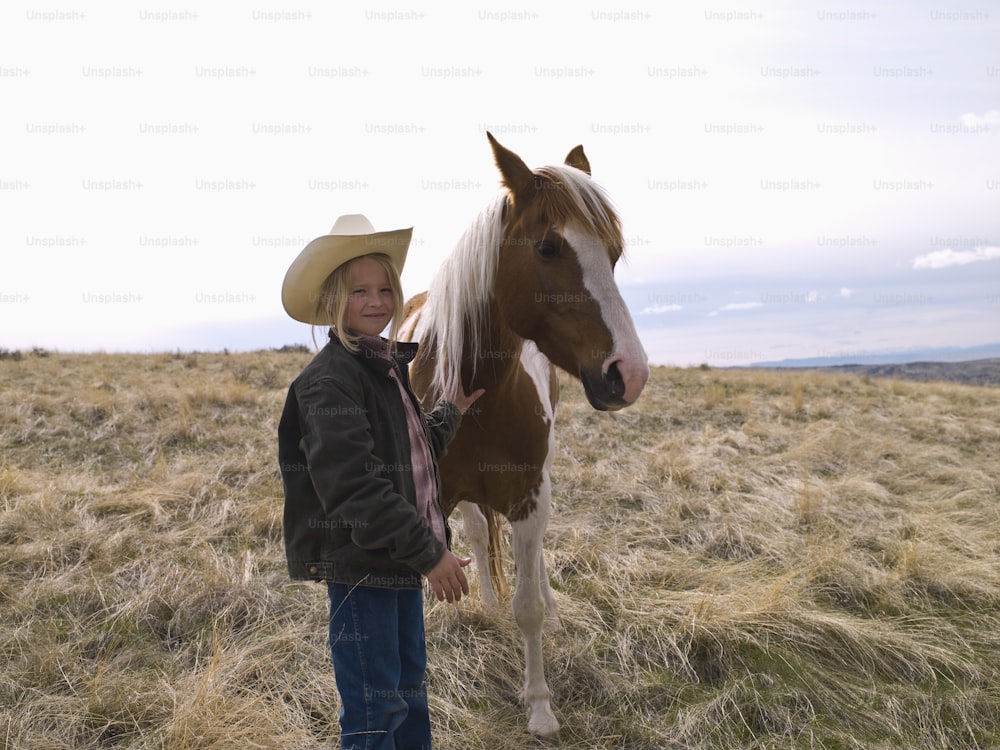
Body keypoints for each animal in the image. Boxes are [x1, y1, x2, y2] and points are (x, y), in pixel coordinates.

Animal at [402, 132, 652, 736]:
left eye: (613, 253)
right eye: (547, 248)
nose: (628, 373)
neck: (473, 392)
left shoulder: (529, 496)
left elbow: (529, 608)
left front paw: (539, 704)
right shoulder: (432, 497)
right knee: (476, 533)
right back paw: (488, 600)